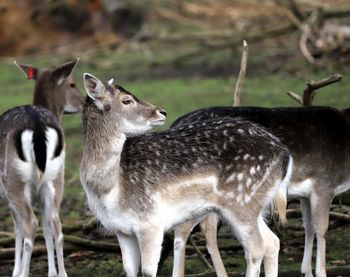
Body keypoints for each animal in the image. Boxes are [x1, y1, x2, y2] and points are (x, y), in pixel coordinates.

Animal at [0, 58, 83, 276]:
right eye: (72, 84)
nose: (84, 102)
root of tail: (36, 125)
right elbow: (46, 229)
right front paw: (52, 272)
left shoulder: (8, 198)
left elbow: (18, 229)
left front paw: (15, 271)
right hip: (56, 178)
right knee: (55, 224)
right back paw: (63, 273)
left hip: (14, 183)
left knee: (31, 224)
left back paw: (23, 273)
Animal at [80, 72, 294, 274]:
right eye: (126, 100)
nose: (161, 111)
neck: (112, 191)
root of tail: (284, 154)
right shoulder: (121, 231)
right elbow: (130, 270)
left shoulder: (151, 224)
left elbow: (148, 271)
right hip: (255, 205)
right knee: (272, 242)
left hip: (242, 202)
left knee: (256, 248)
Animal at [170, 102, 350, 276]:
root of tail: (176, 122)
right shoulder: (324, 184)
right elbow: (322, 228)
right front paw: (320, 272)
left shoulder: (305, 195)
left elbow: (309, 227)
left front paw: (306, 271)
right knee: (183, 229)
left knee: (207, 229)